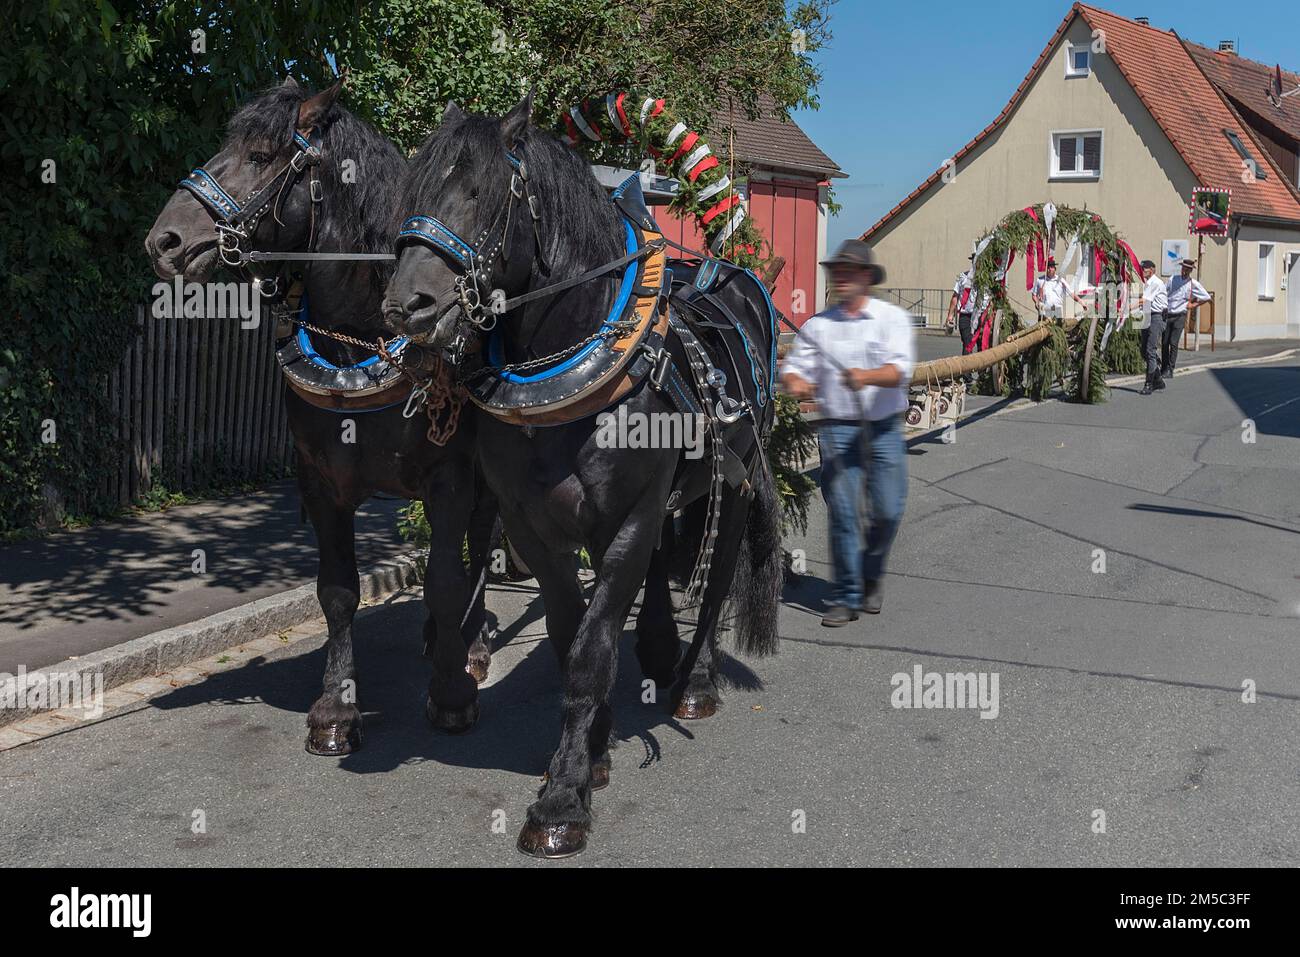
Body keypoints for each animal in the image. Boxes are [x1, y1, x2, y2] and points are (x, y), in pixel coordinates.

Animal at [144, 77, 497, 755]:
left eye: (260, 156)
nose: (163, 241)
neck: (362, 343)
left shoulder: (450, 479)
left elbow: (445, 576)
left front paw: (451, 693)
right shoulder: (321, 482)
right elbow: (337, 593)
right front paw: (337, 707)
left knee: (480, 545)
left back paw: (468, 645)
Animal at [382, 95, 783, 858]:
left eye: (480, 192)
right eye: (411, 190)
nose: (405, 307)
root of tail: (730, 277)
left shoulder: (628, 518)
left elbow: (593, 649)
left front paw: (562, 799)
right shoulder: (533, 525)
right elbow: (572, 634)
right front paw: (591, 749)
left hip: (736, 479)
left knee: (716, 581)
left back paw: (695, 679)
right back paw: (656, 651)